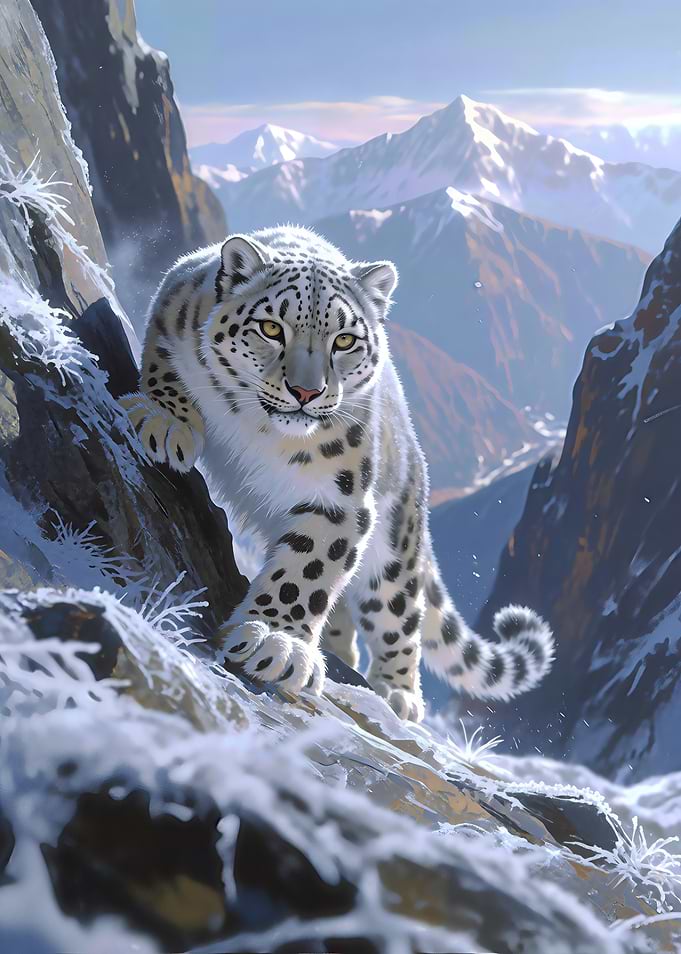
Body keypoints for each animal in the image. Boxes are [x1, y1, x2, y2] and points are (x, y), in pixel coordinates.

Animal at [121, 225, 554, 721]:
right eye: (271, 328)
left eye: (345, 340)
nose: (306, 391)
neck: (260, 427)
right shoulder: (172, 306)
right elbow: (163, 365)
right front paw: (165, 420)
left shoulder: (341, 500)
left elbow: (307, 571)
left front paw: (277, 644)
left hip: (396, 546)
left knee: (398, 607)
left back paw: (398, 695)